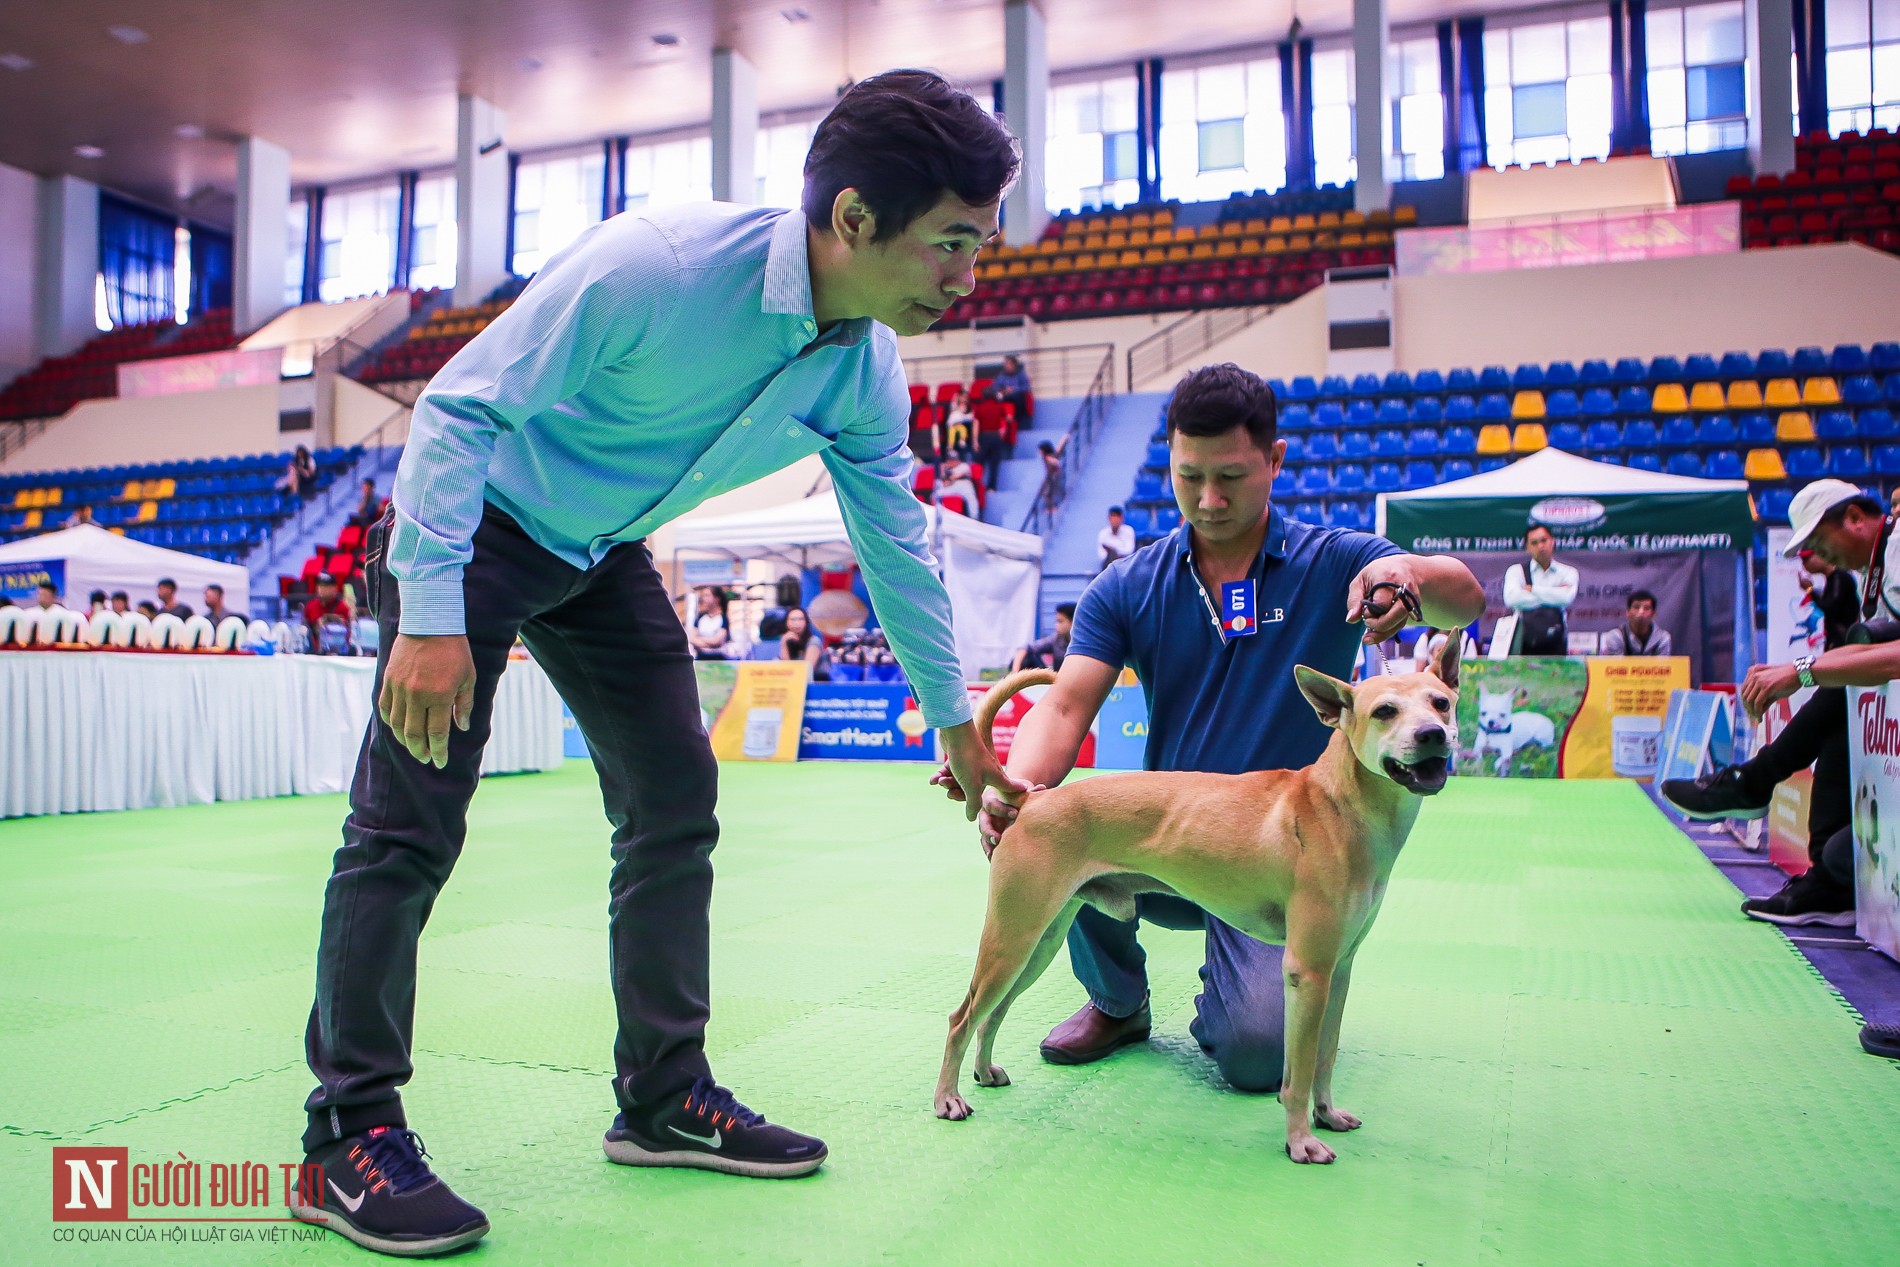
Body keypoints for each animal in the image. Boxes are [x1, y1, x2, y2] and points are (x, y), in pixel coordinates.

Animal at [942, 638, 1459, 1162]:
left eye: (1441, 702)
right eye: (1385, 711)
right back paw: (948, 1098)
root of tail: (1030, 800)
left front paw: (1327, 1114)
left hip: (1038, 943)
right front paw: (1300, 1140)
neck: (1333, 804)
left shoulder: (1340, 969)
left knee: (991, 1014)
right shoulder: (1308, 972)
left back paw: (984, 1072)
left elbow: (1324, 1058)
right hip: (1012, 937)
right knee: (961, 1018)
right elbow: (1297, 1075)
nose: (1433, 735)